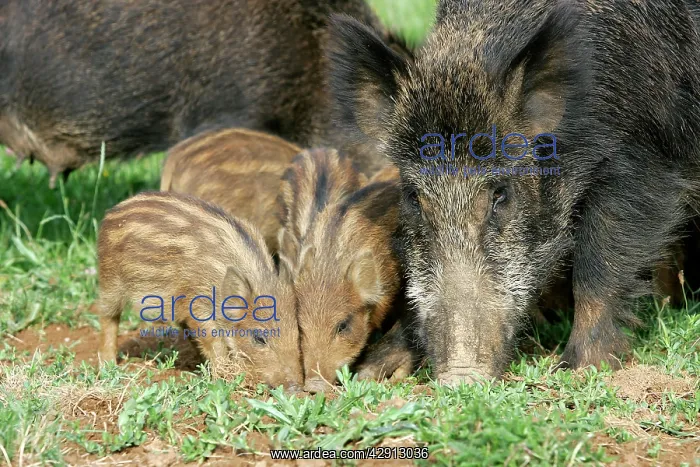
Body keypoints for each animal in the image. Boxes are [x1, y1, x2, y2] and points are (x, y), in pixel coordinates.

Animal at [97, 191, 303, 390]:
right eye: (259, 338)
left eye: (298, 334)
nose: (295, 388)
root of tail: (113, 211)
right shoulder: (197, 303)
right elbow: (213, 340)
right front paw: (226, 377)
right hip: (110, 280)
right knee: (107, 316)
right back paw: (108, 365)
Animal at [327, 0, 700, 383]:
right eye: (414, 198)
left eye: (500, 194)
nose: (460, 378)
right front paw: (371, 373)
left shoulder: (647, 160)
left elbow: (597, 268)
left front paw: (579, 370)